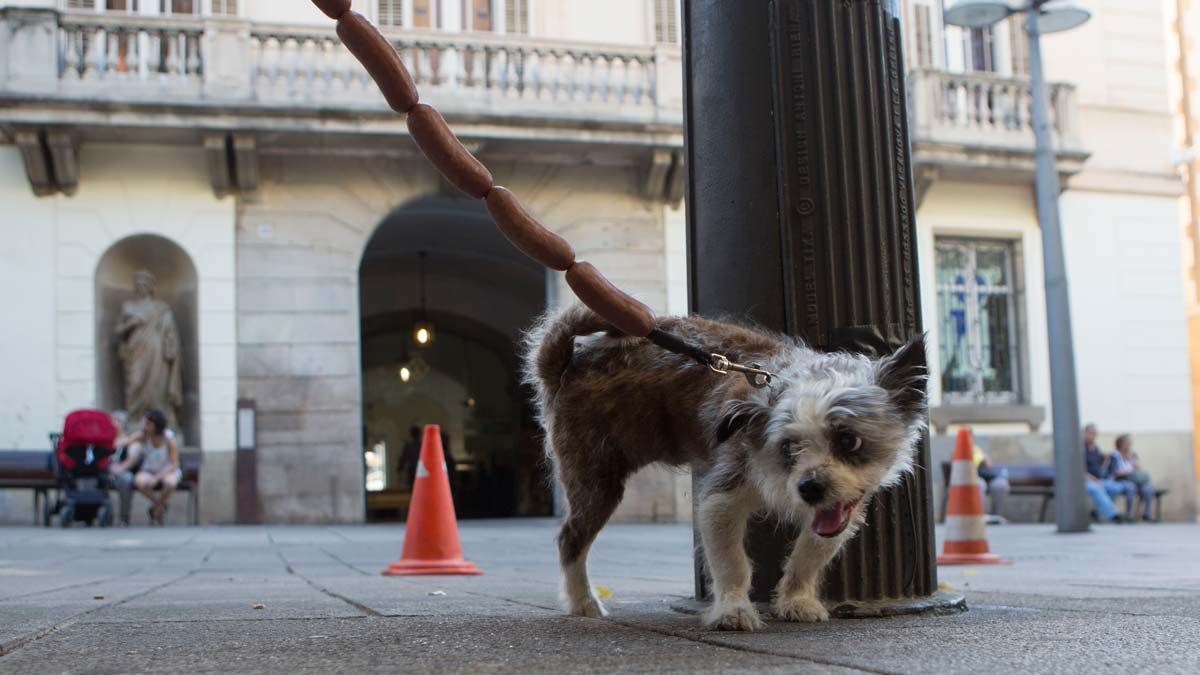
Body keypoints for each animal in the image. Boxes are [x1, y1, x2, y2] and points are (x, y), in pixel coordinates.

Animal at [525, 302, 926, 629]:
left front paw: (797, 600)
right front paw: (733, 610)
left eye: (849, 440)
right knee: (570, 539)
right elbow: (732, 562)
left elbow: (808, 557)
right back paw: (583, 602)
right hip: (597, 480)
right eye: (788, 447)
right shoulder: (722, 498)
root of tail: (567, 364)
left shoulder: (838, 513)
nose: (810, 488)